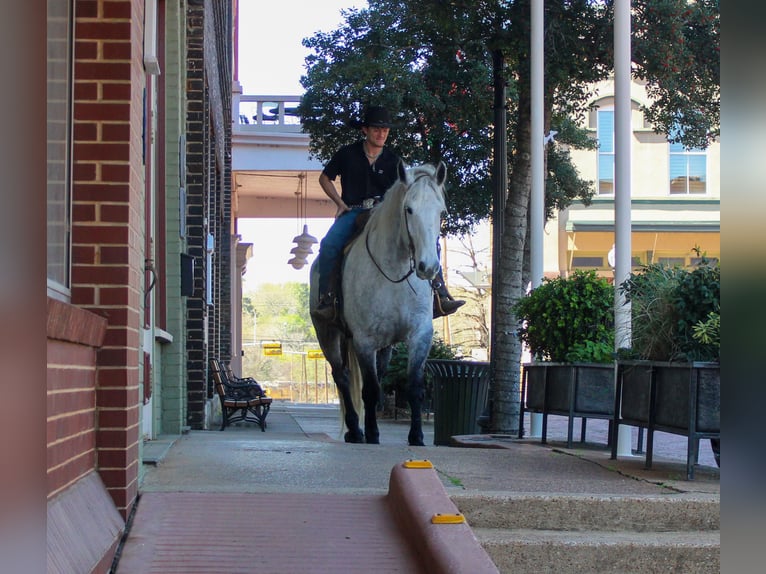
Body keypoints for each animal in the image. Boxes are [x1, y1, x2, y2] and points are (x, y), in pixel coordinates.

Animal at [310, 161, 448, 446]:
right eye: (409, 209)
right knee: (341, 376)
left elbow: (413, 386)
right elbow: (370, 389)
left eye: (441, 212)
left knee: (375, 374)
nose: (428, 267)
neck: (394, 274)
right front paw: (372, 433)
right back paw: (354, 429)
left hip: (386, 344)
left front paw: (417, 436)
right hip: (327, 333)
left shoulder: (420, 335)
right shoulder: (364, 339)